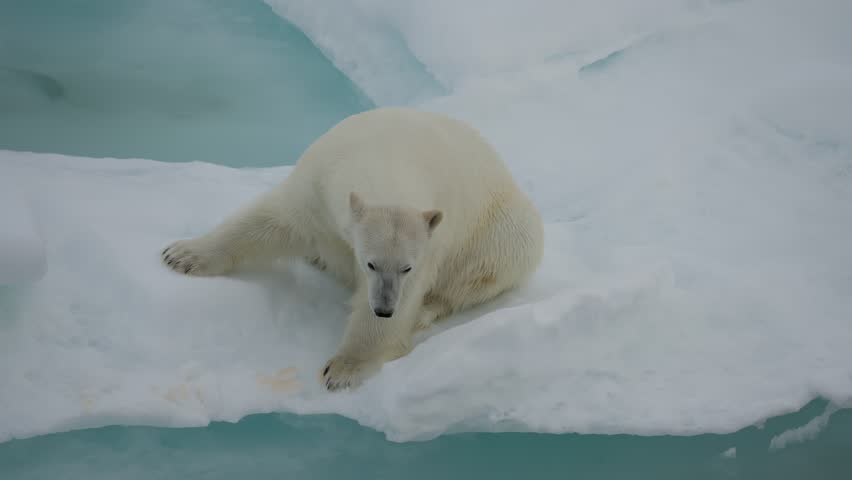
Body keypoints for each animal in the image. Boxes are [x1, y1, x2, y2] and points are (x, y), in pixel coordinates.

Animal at [161, 107, 544, 391]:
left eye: (405, 267)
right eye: (370, 263)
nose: (384, 309)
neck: (387, 155)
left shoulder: (433, 240)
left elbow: (410, 292)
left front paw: (343, 369)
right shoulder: (317, 188)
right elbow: (271, 220)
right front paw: (182, 255)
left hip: (502, 230)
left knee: (484, 269)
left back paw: (426, 309)